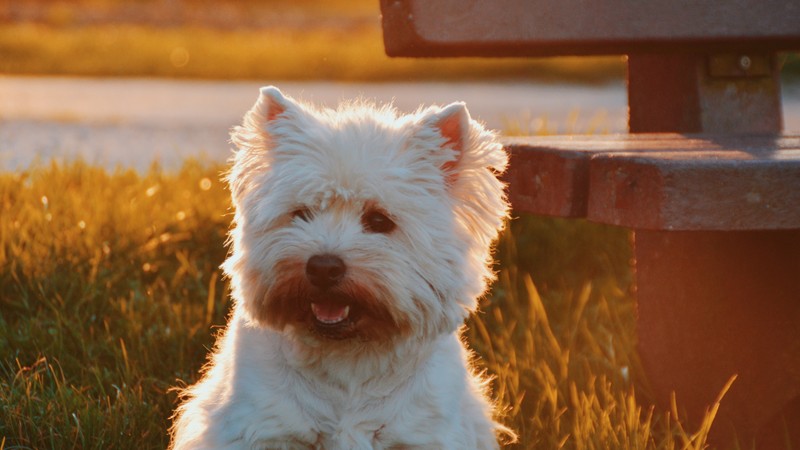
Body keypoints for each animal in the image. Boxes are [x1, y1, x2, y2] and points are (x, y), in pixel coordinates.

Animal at [170, 86, 512, 448]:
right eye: (301, 213)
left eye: (379, 220)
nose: (322, 267)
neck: (348, 358)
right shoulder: (264, 427)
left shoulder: (424, 433)